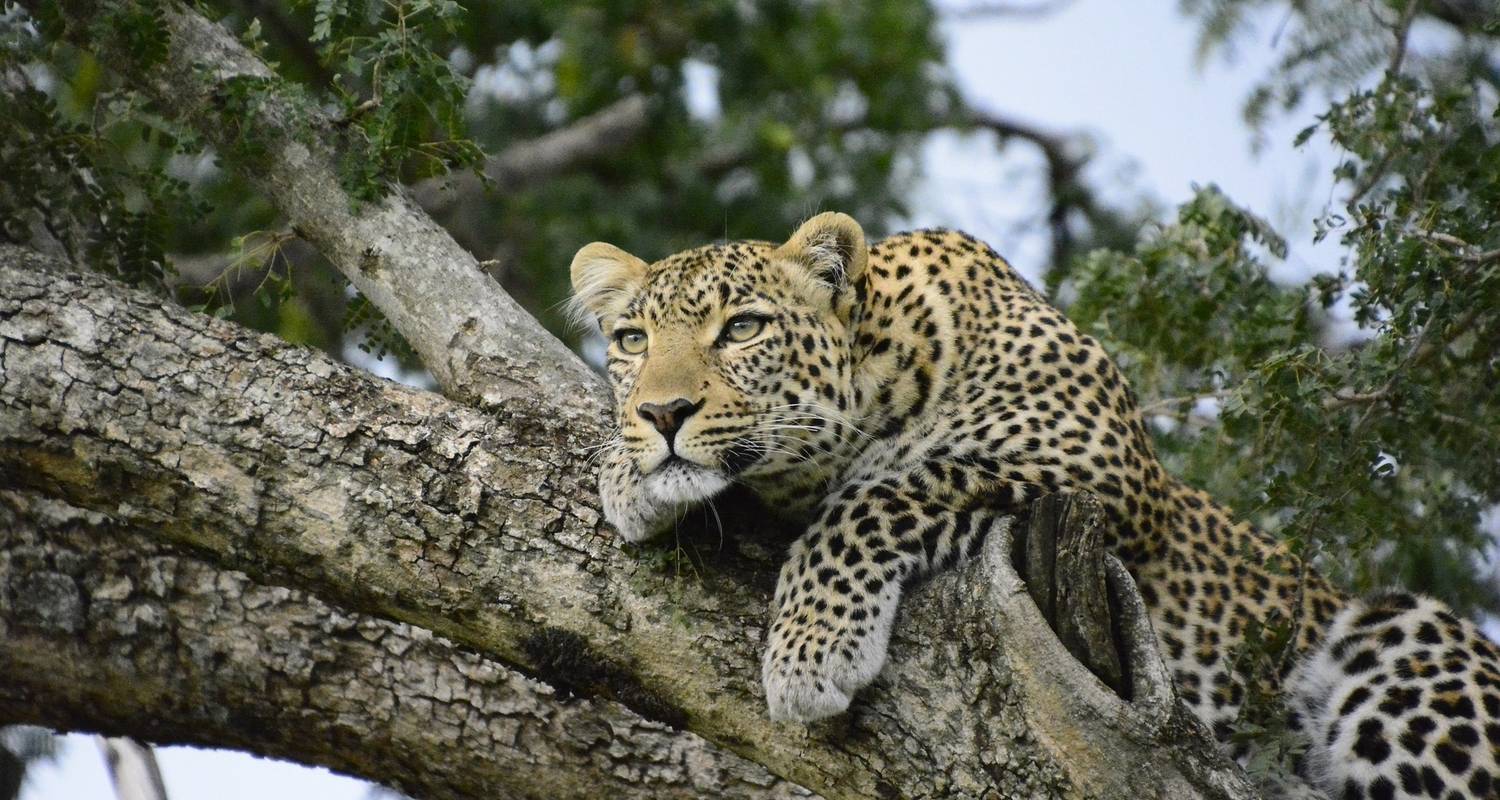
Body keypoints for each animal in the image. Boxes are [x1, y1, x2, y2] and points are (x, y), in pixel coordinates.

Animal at [564, 208, 1500, 792]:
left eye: (745, 329)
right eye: (632, 340)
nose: (662, 412)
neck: (888, 357)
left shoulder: (1096, 466)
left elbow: (886, 491)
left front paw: (811, 648)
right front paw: (627, 472)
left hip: (1404, 640)